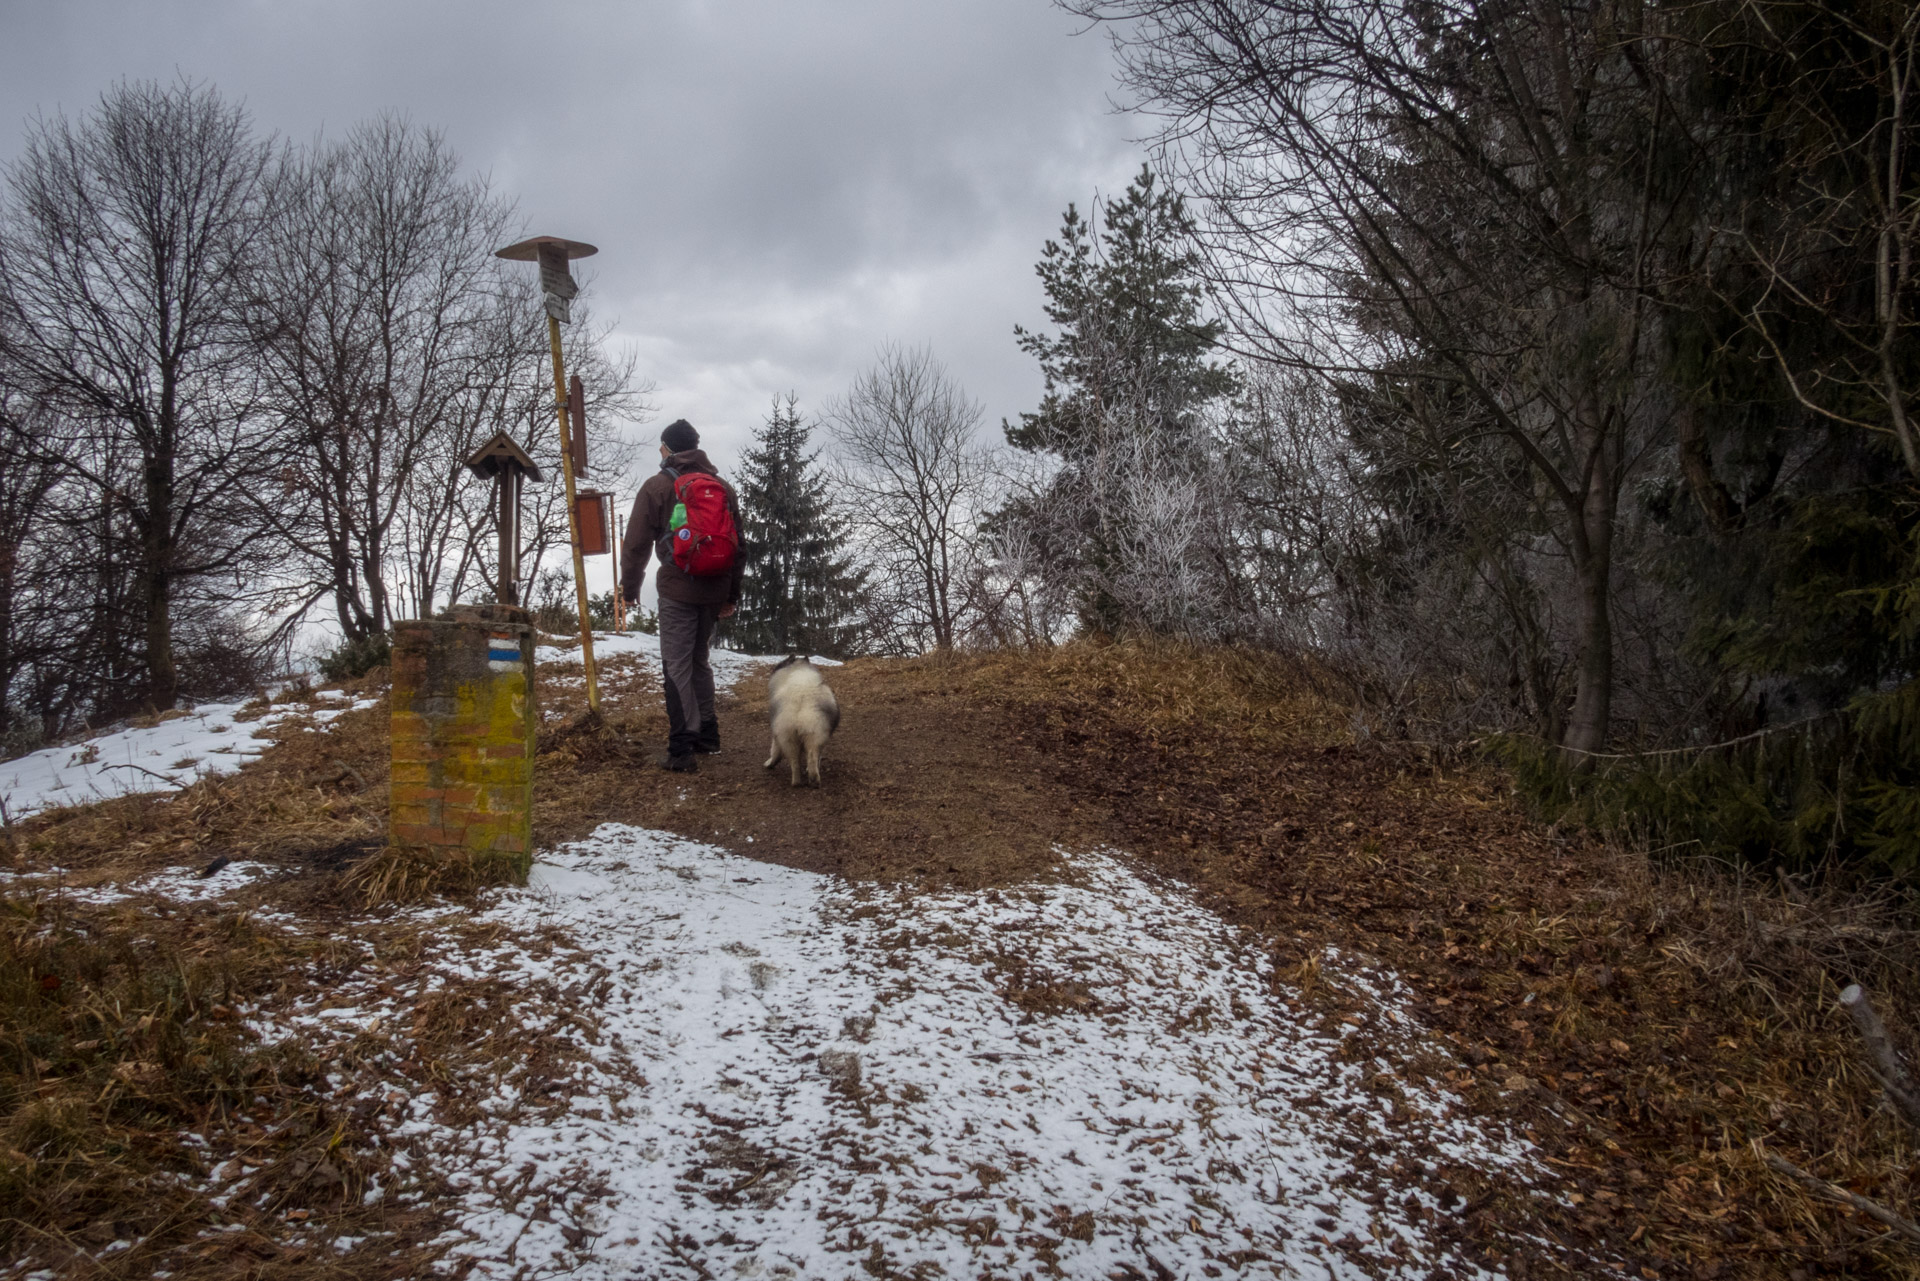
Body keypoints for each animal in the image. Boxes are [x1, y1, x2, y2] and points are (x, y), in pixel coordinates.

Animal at [760, 656, 837, 787]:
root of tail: (802, 698)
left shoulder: (777, 735)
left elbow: (775, 750)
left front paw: (770, 763)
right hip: (813, 736)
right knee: (811, 757)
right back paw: (813, 780)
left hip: (789, 737)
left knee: (795, 762)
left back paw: (797, 782)